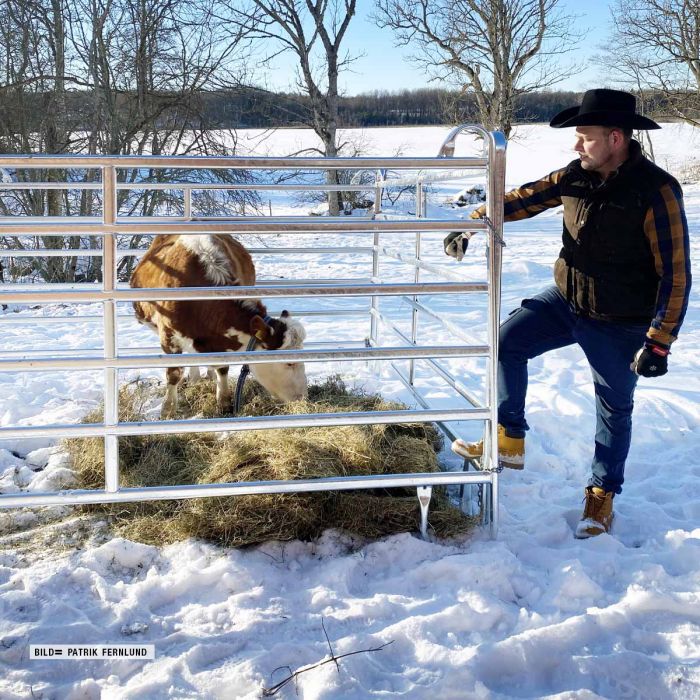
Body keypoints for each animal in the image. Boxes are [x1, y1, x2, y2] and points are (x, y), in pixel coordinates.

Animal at [131, 235, 306, 416]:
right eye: (289, 363)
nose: (303, 397)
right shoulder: (168, 336)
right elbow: (174, 373)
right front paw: (168, 409)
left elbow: (222, 368)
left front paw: (223, 401)